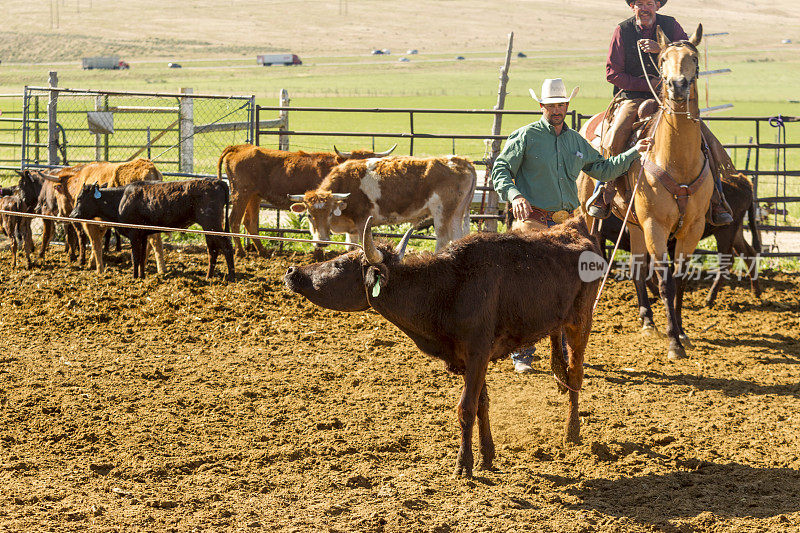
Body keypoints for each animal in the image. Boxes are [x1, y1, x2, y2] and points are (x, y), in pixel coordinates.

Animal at [70, 179, 234, 280]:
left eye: (79, 198)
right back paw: (208, 276)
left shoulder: (134, 234)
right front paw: (141, 276)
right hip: (209, 229)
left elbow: (135, 257)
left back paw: (232, 276)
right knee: (213, 249)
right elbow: (142, 256)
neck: (121, 199)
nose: (72, 215)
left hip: (212, 224)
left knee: (226, 246)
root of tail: (216, 181)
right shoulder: (142, 235)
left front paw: (134, 277)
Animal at [217, 142, 396, 256]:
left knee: (250, 222)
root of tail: (239, 148)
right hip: (241, 194)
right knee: (234, 220)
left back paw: (262, 251)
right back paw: (240, 252)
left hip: (254, 196)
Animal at [288, 155, 476, 252]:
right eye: (309, 215)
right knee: (458, 237)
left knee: (443, 239)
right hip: (457, 212)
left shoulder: (363, 222)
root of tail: (461, 160)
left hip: (442, 212)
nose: (321, 242)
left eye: (329, 213)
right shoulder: (352, 229)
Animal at [580, 23, 716, 358]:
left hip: (635, 224)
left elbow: (679, 281)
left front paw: (682, 332)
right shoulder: (656, 225)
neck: (676, 159)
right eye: (664, 58)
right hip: (591, 216)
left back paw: (647, 321)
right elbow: (665, 281)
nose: (678, 85)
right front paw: (673, 343)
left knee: (638, 270)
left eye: (694, 58)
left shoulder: (691, 229)